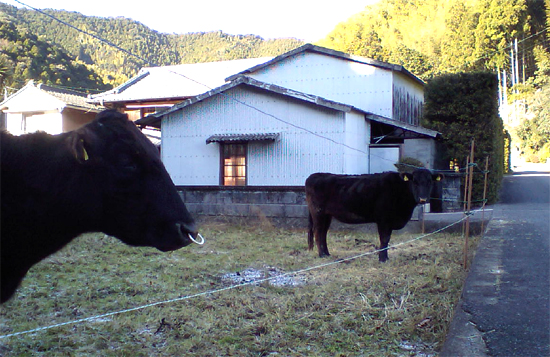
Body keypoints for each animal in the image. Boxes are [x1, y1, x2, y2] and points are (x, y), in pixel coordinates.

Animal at [306, 168, 444, 260]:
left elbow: (387, 239)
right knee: (318, 231)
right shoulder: (383, 219)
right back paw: (321, 255)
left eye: (430, 182)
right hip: (318, 212)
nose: (423, 199)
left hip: (327, 215)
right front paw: (382, 258)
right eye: (414, 182)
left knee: (323, 233)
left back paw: (327, 254)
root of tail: (314, 175)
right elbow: (384, 238)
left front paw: (385, 257)